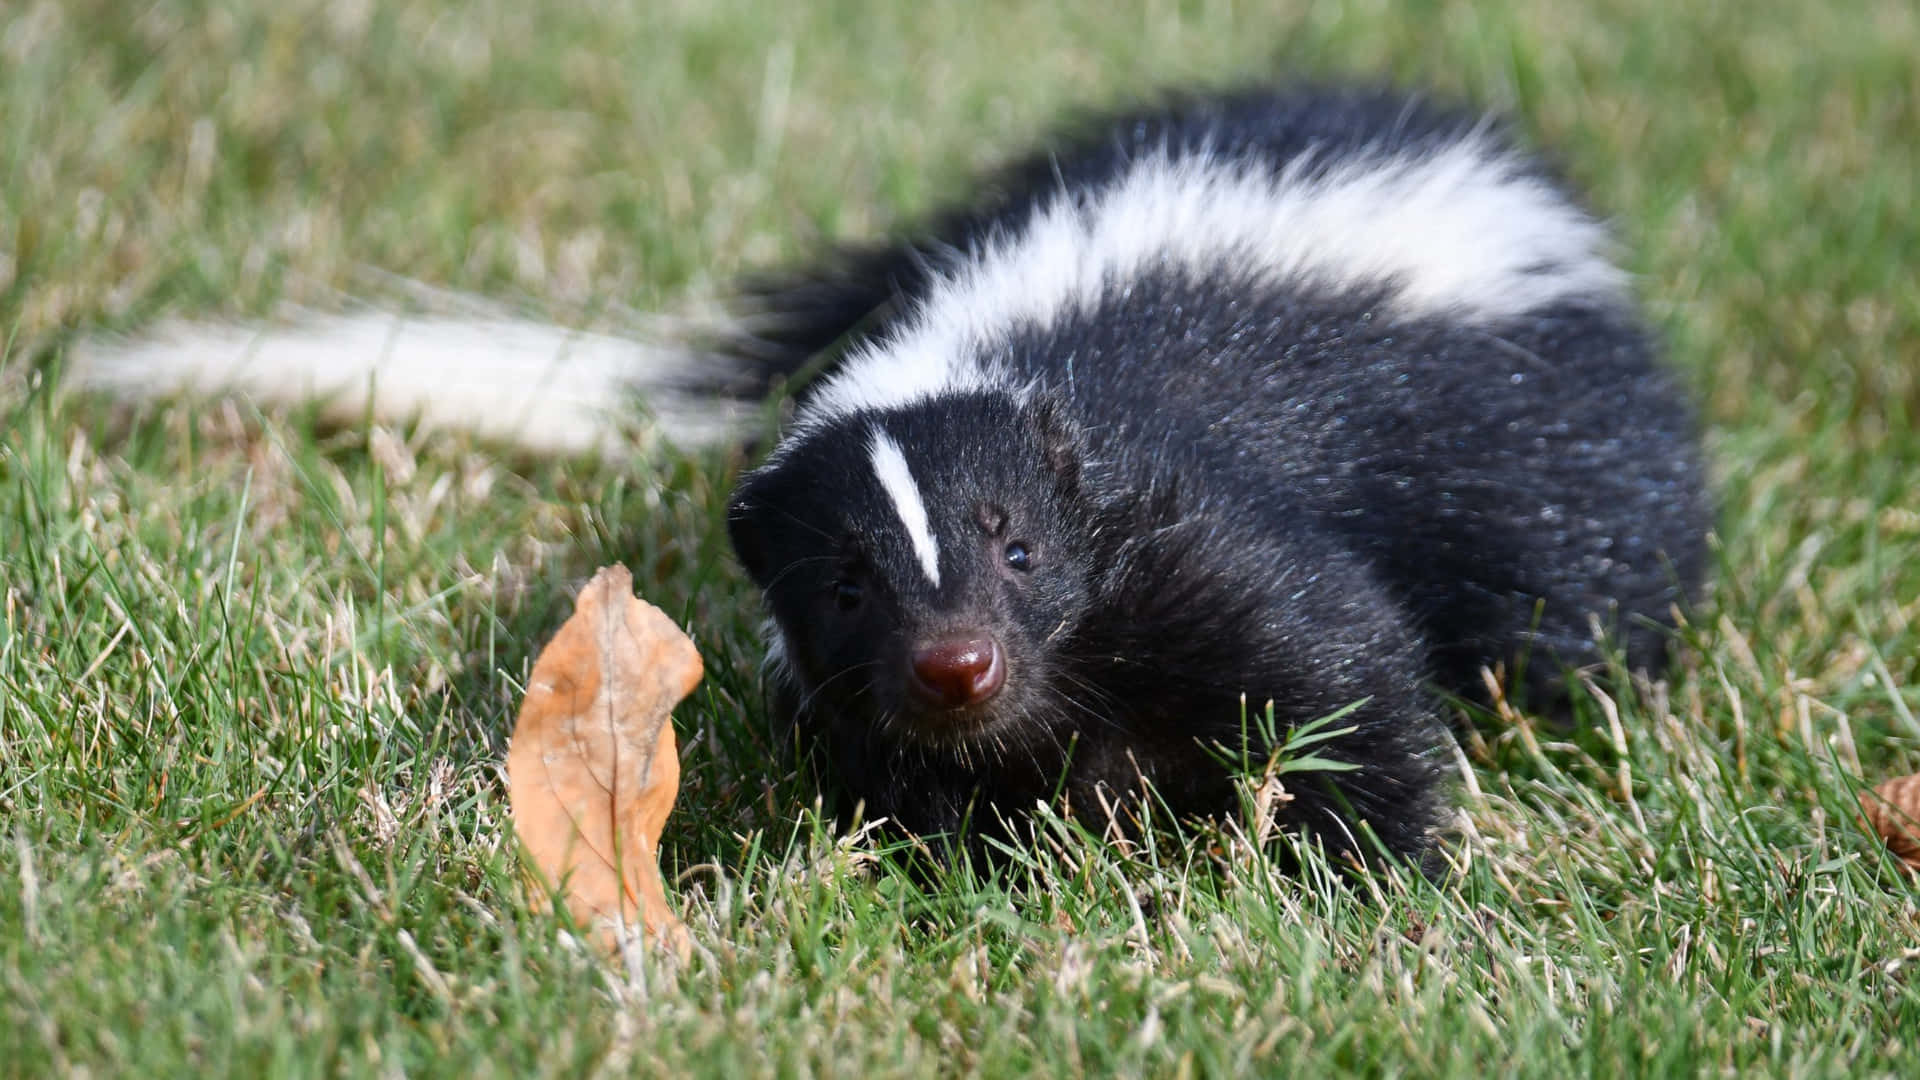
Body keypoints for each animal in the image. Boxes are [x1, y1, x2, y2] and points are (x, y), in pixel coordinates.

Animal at [71, 88, 1712, 868]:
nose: (957, 666)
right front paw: (984, 851)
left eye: (1019, 547)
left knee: (1582, 581)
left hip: (1549, 441)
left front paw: (1381, 868)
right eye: (847, 586)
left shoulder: (1203, 535)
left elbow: (1338, 666)